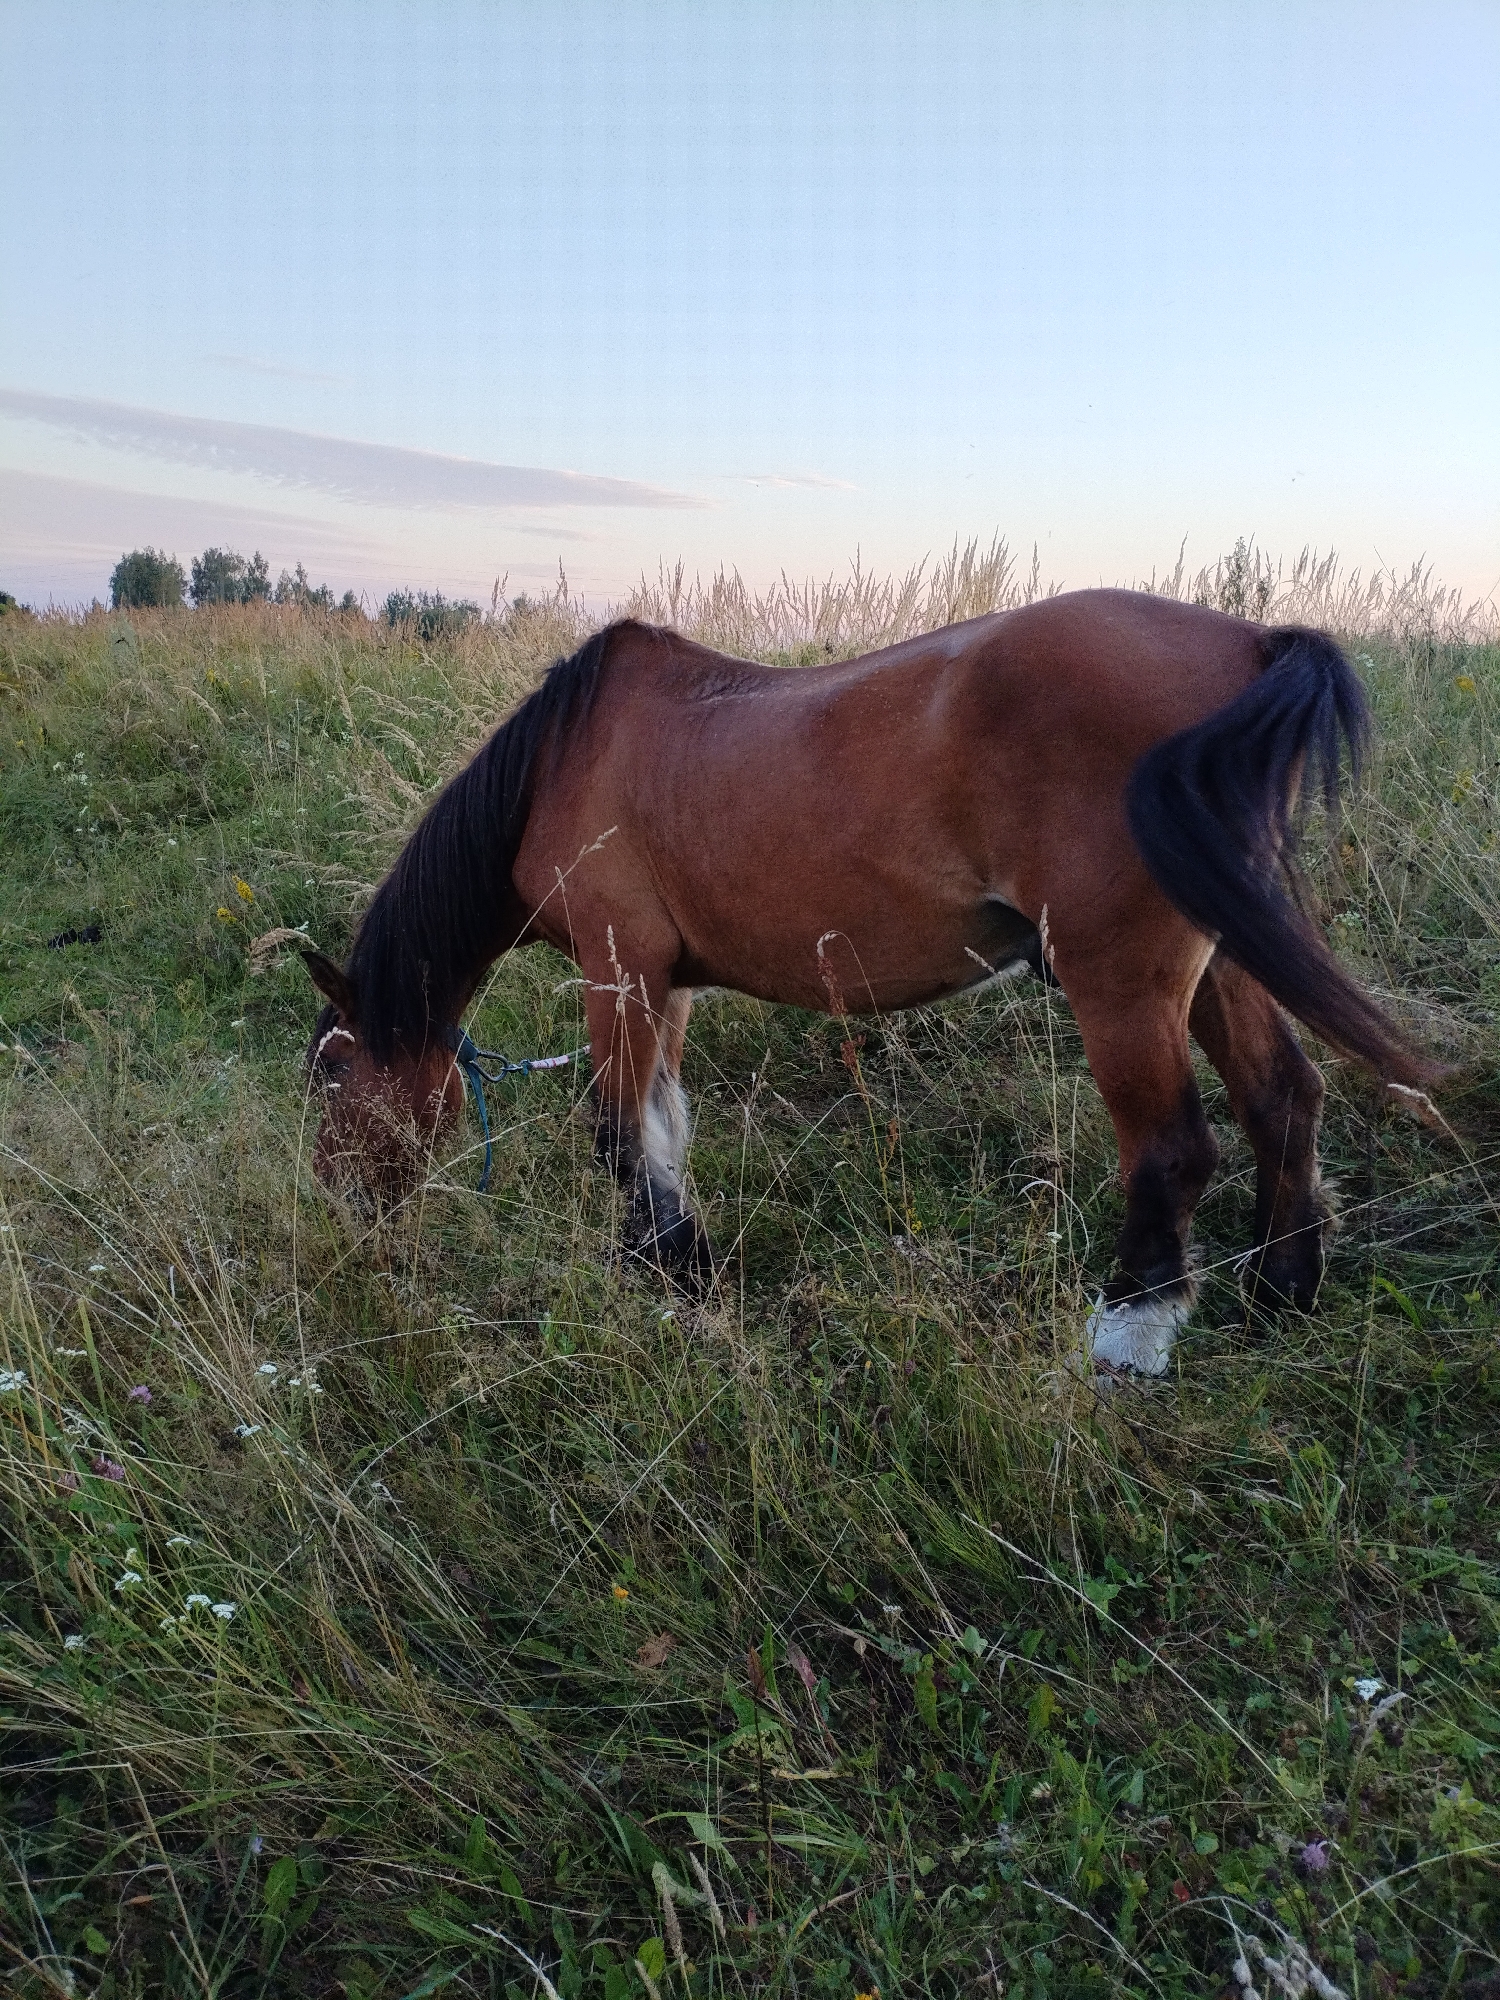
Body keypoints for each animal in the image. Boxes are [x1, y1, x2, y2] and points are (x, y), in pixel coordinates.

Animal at [302, 590, 1438, 1377]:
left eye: (330, 1075)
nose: (338, 1209)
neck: (560, 759)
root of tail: (1256, 643)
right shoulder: (667, 984)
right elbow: (664, 1128)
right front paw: (684, 1264)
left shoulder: (618, 970)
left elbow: (620, 1132)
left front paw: (662, 1280)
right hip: (1216, 961)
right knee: (1282, 1097)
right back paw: (1282, 1290)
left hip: (1123, 981)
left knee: (1173, 1149)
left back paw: (1127, 1335)